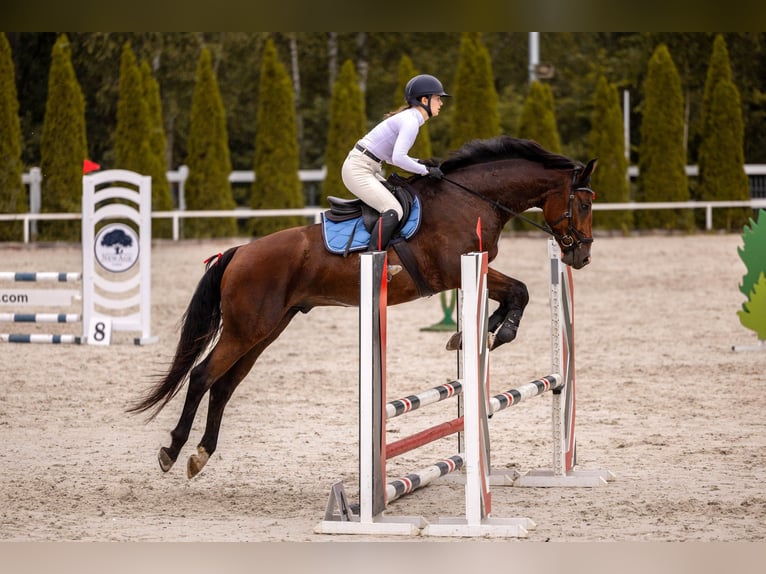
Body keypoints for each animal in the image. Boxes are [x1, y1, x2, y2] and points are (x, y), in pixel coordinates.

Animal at [129, 136, 600, 482]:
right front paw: (496, 332)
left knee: (224, 386)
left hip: (266, 331)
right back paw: (173, 450)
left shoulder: (474, 269)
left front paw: (477, 331)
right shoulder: (455, 270)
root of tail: (240, 251)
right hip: (246, 329)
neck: (471, 198)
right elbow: (520, 290)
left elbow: (514, 294)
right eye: (584, 204)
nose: (581, 258)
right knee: (201, 376)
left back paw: (201, 454)